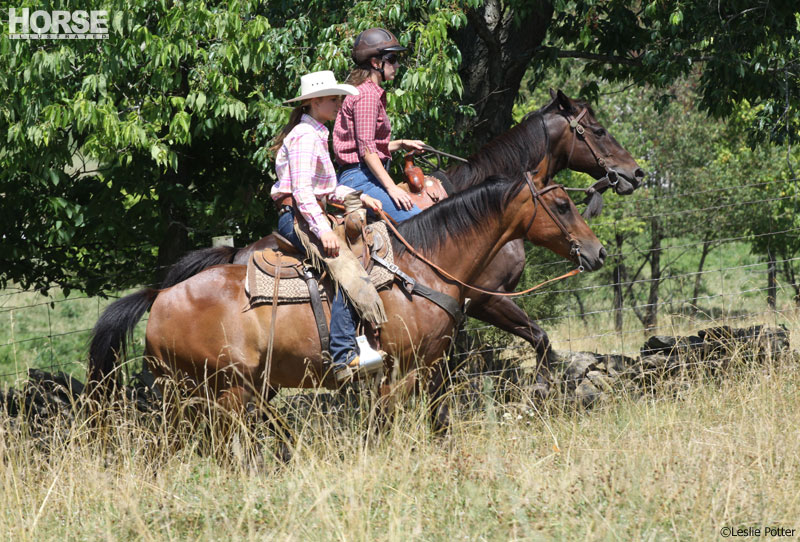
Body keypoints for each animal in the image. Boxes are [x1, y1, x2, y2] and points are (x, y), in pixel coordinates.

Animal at [89, 164, 600, 428]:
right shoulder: (402, 372)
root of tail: (161, 296)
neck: (423, 268)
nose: (597, 251)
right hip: (218, 393)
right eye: (561, 204)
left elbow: (438, 420)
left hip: (235, 391)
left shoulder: (433, 365)